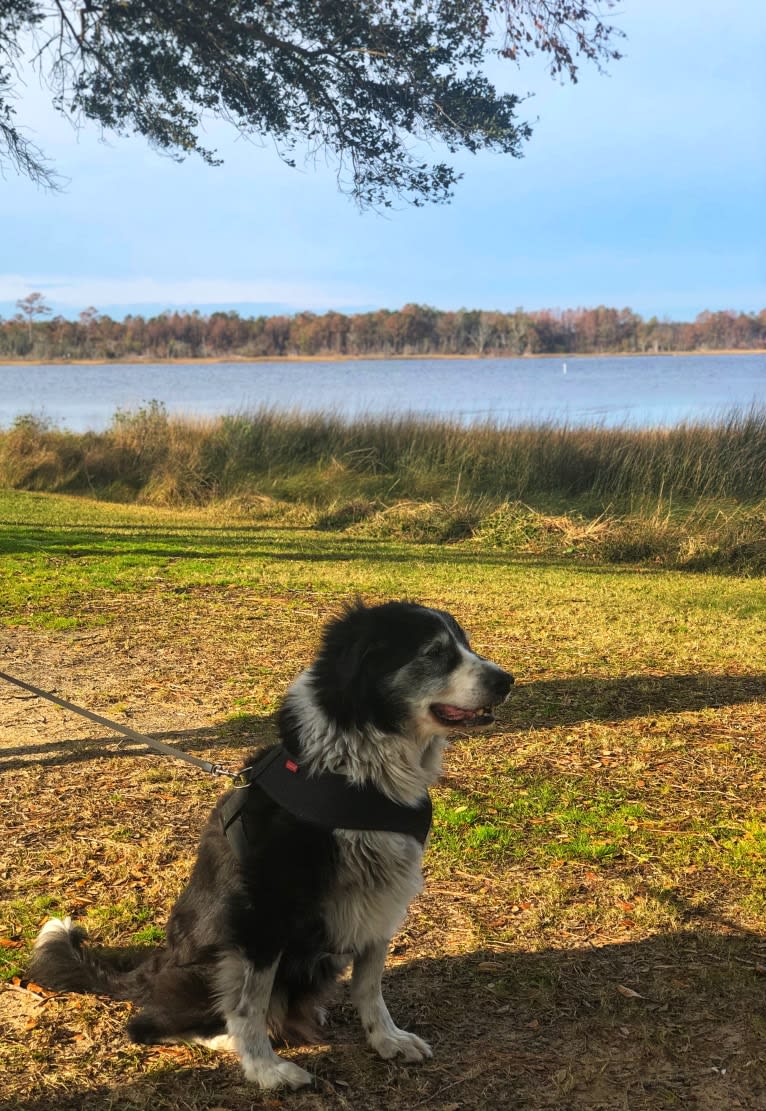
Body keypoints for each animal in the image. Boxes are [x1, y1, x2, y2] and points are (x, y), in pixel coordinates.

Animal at [28, 604, 513, 1088]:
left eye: (465, 645)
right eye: (434, 652)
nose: (507, 680)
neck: (354, 771)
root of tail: (152, 968)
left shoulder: (383, 897)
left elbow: (369, 986)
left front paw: (386, 1039)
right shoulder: (261, 911)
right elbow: (249, 1003)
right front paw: (264, 1068)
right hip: (211, 960)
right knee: (150, 1024)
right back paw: (225, 1039)